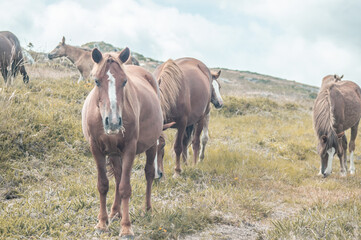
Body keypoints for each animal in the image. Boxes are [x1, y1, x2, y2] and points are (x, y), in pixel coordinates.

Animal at [81, 47, 162, 237]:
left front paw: (126, 227)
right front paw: (102, 223)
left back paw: (147, 209)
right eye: (96, 81)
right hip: (114, 153)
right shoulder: (96, 149)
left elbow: (125, 187)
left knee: (148, 174)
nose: (113, 122)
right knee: (117, 177)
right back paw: (114, 212)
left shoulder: (129, 149)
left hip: (151, 145)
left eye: (125, 82)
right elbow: (104, 185)